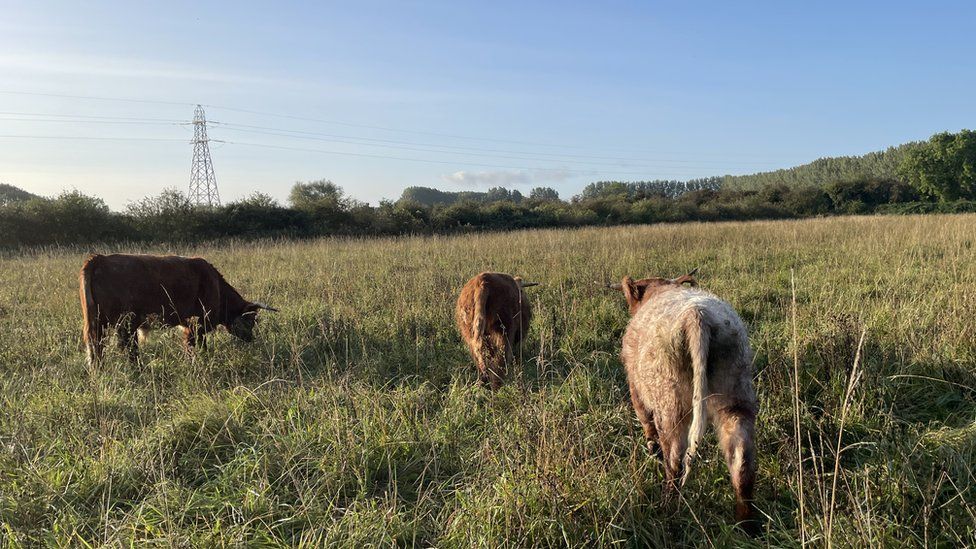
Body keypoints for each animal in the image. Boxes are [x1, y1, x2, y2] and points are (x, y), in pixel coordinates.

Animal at [78, 254, 278, 364]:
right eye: (250, 320)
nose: (251, 338)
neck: (217, 288)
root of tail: (99, 259)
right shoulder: (199, 324)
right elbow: (196, 345)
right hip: (126, 323)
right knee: (128, 348)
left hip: (99, 324)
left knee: (97, 349)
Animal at [608, 268, 760, 532]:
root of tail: (697, 315)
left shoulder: (635, 387)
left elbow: (645, 422)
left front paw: (651, 448)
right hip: (736, 394)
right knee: (741, 456)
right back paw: (745, 524)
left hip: (671, 405)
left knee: (675, 459)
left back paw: (666, 508)